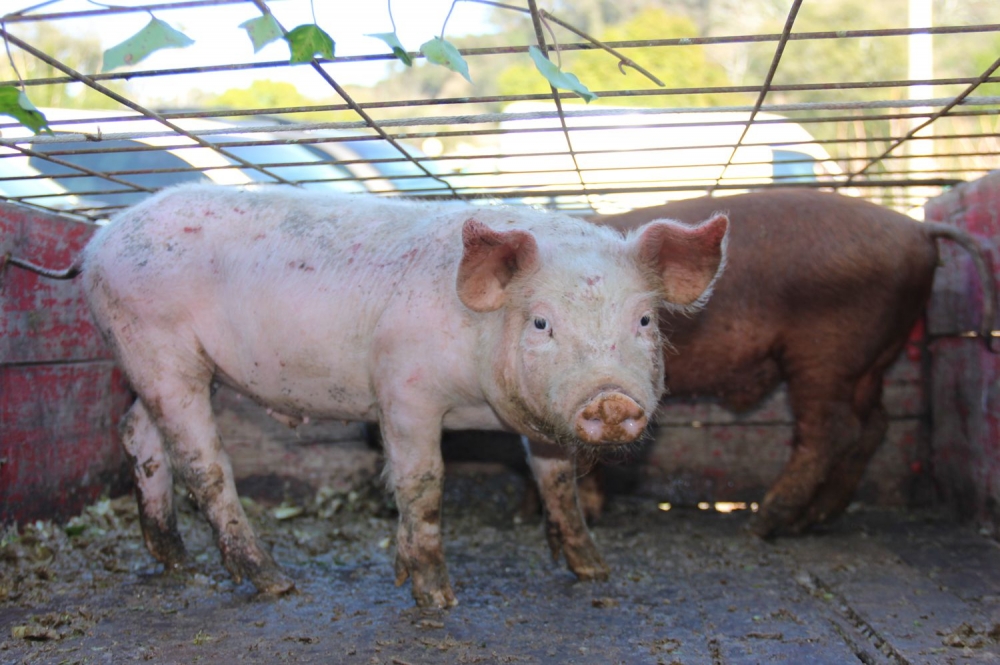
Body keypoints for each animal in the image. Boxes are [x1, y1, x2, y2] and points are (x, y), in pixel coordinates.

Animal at [74, 183, 724, 608]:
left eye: (644, 321)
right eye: (541, 322)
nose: (610, 400)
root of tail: (99, 242)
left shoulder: (538, 423)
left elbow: (556, 481)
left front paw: (594, 572)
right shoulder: (404, 390)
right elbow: (422, 482)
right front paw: (435, 598)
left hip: (153, 361)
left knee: (138, 432)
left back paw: (174, 559)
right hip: (159, 346)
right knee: (201, 462)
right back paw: (275, 581)